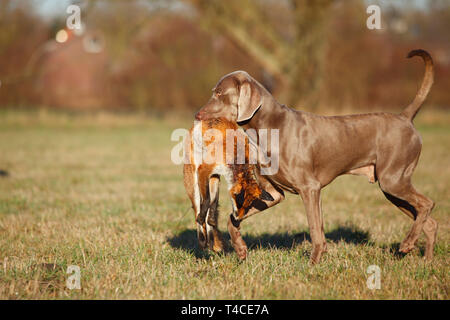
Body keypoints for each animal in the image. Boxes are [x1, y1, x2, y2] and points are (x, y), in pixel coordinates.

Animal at [182, 117, 272, 252]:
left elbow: (213, 203)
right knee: (197, 206)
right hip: (194, 179)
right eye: (239, 202)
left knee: (208, 209)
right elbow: (206, 202)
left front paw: (211, 222)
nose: (237, 219)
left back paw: (210, 240)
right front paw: (202, 220)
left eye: (248, 206)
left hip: (214, 179)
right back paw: (202, 240)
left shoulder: (214, 174)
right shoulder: (204, 170)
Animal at [193, 50, 436, 264]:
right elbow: (232, 219)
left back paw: (408, 244)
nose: (197, 114)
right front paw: (241, 249)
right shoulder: (274, 193)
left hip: (393, 180)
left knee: (427, 204)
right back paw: (426, 261)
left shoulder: (309, 188)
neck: (268, 127)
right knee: (429, 221)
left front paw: (313, 262)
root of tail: (405, 117)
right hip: (392, 189)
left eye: (219, 93)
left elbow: (314, 228)